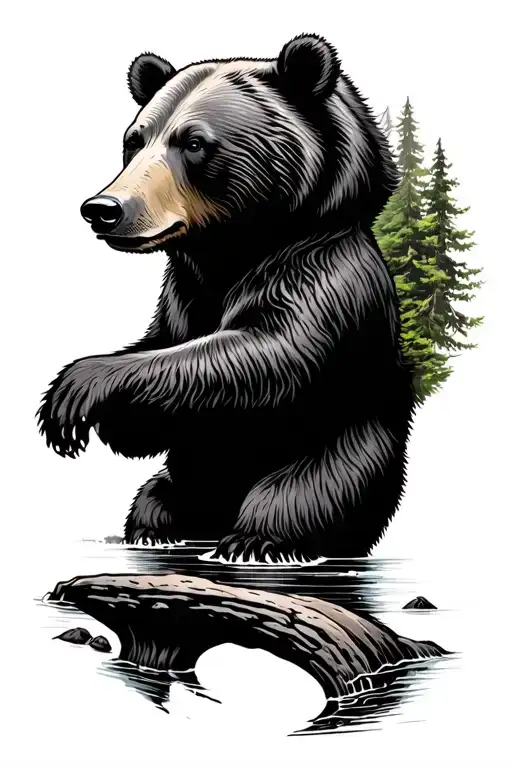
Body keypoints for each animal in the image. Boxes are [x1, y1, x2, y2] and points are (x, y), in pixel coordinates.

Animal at [37, 34, 415, 563]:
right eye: (134, 141)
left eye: (194, 142)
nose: (104, 209)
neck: (230, 252)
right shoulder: (181, 296)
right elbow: (160, 364)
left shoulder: (325, 277)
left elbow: (271, 351)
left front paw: (79, 387)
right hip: (186, 475)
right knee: (156, 496)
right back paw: (159, 529)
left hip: (347, 453)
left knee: (303, 496)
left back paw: (256, 538)